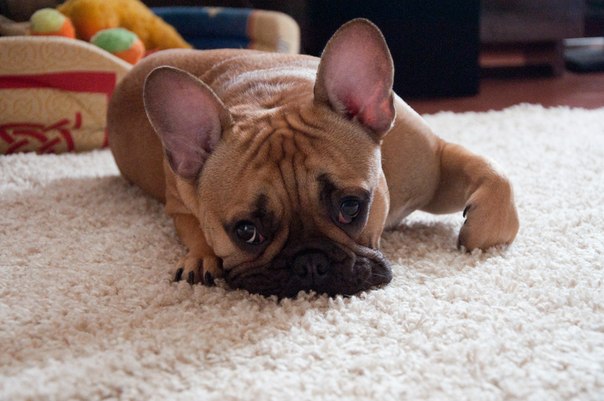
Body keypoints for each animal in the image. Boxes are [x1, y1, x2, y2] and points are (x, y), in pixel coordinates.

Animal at [107, 19, 519, 298]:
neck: (271, 97)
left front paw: (478, 235)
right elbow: (195, 229)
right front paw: (202, 256)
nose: (309, 263)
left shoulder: (434, 162)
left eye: (351, 206)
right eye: (246, 231)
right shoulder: (179, 203)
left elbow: (496, 176)